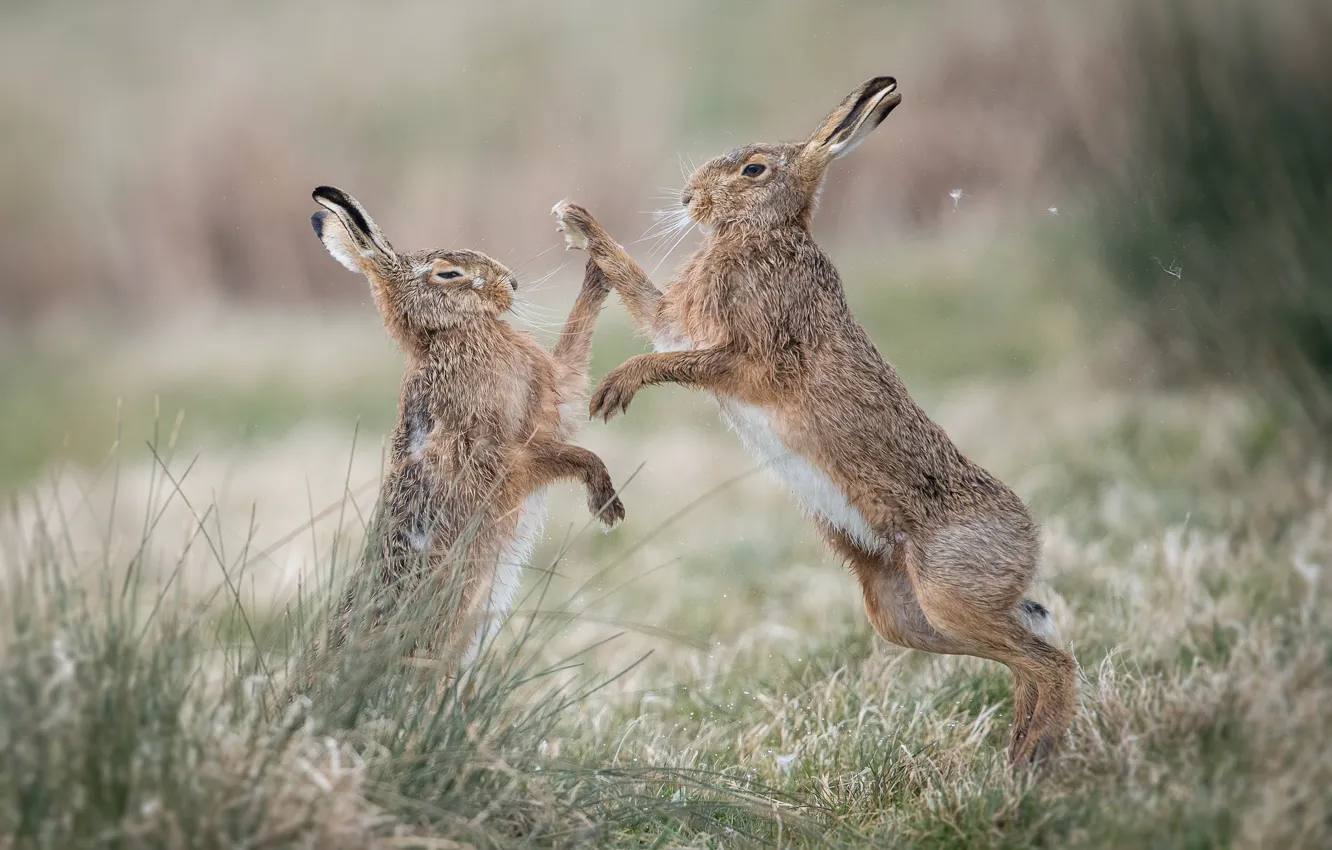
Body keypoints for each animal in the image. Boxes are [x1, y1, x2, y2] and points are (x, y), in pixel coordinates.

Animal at [310, 185, 624, 673]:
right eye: (449, 273)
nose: (512, 284)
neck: (446, 335)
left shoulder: (553, 397)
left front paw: (596, 265)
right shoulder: (507, 451)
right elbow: (573, 454)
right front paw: (606, 504)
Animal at [551, 76, 1075, 766]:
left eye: (753, 170)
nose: (689, 197)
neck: (766, 235)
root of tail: (1030, 538)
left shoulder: (744, 355)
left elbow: (675, 359)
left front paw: (614, 387)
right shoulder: (680, 323)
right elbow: (642, 295)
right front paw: (577, 222)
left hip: (950, 594)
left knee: (1052, 663)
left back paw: (1034, 759)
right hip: (905, 615)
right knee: (1026, 656)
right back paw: (1020, 758)